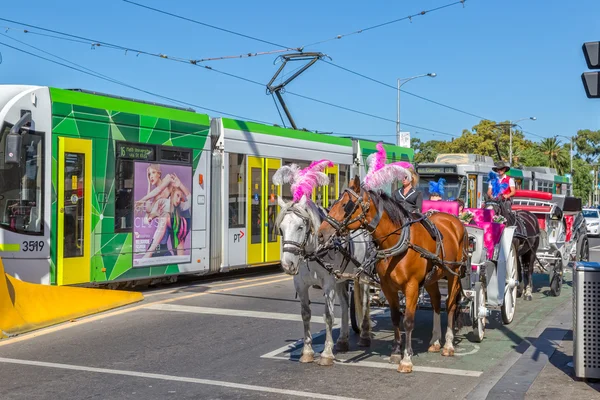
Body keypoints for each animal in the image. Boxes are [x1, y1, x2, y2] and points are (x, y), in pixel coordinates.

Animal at [276, 195, 370, 368]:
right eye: (281, 229)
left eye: (300, 227)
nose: (287, 265)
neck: (314, 253)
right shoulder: (301, 285)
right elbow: (305, 314)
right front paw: (307, 352)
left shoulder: (328, 285)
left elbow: (328, 316)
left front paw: (326, 353)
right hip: (341, 279)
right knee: (345, 304)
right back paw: (342, 340)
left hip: (364, 275)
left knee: (366, 302)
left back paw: (365, 335)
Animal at [316, 177, 472, 374]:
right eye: (334, 202)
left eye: (346, 205)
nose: (321, 234)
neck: (398, 241)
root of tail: (456, 222)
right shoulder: (388, 287)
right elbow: (395, 317)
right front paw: (397, 351)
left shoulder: (412, 286)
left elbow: (408, 321)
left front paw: (406, 359)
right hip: (432, 278)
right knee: (437, 302)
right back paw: (435, 341)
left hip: (454, 274)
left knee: (450, 305)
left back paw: (448, 345)